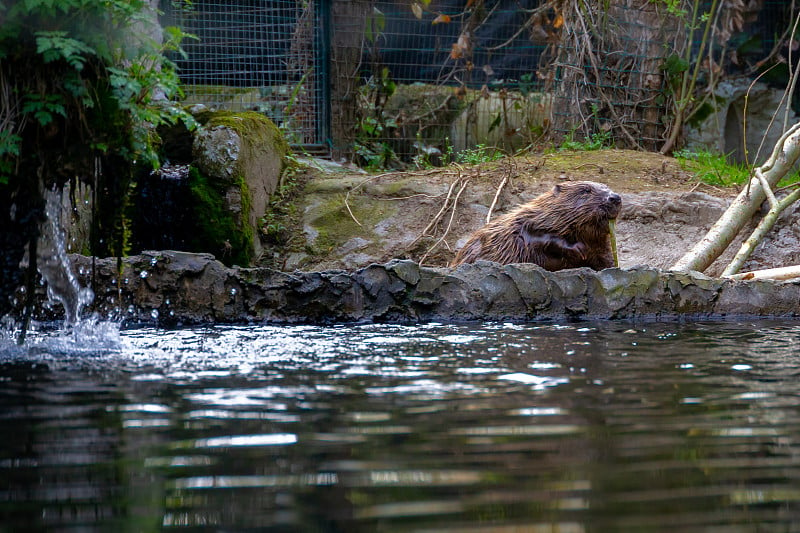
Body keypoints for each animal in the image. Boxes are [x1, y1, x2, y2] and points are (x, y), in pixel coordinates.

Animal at [450, 181, 620, 270]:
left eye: (607, 187)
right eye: (586, 190)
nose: (615, 197)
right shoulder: (523, 225)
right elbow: (535, 239)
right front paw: (579, 249)